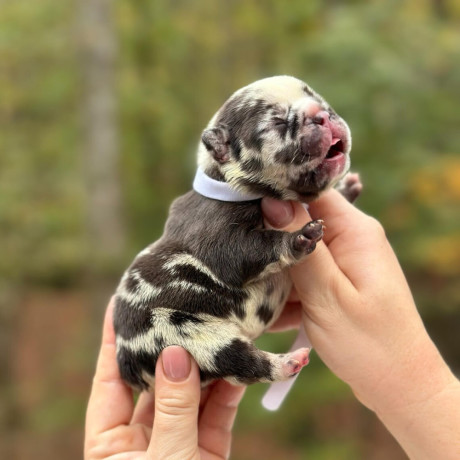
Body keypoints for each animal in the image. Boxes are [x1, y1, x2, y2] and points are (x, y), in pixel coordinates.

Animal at [114, 76, 360, 392]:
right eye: (277, 122)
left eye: (317, 98)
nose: (321, 114)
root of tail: (128, 366)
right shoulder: (220, 241)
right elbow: (255, 247)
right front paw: (297, 239)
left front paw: (347, 190)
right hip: (186, 334)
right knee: (244, 363)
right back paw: (287, 362)